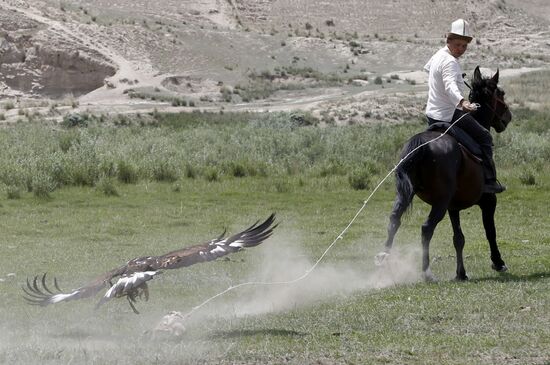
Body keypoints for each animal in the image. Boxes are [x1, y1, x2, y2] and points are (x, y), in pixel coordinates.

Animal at [380, 67, 512, 280]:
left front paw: (461, 274)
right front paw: (498, 262)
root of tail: (421, 144)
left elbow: (458, 238)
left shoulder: (453, 207)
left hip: (406, 195)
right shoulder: (488, 200)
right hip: (440, 202)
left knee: (394, 220)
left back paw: (383, 258)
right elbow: (490, 231)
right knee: (426, 228)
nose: (508, 116)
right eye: (500, 93)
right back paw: (426, 272)